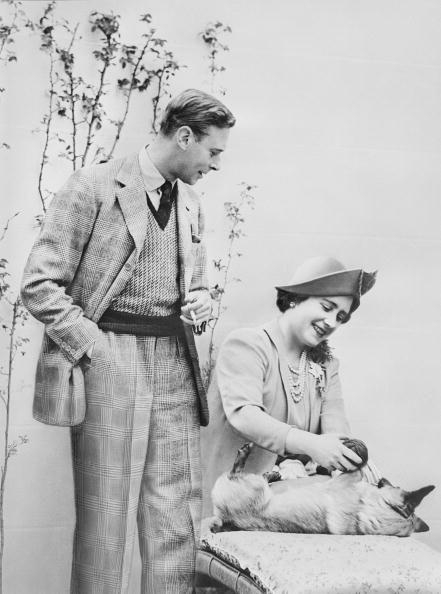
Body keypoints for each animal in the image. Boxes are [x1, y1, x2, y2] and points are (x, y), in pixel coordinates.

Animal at [211, 440, 434, 536]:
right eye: (395, 484)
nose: (383, 479)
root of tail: (227, 519)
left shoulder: (347, 479)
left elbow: (357, 469)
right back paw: (271, 474)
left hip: (255, 486)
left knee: (236, 472)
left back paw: (249, 460)